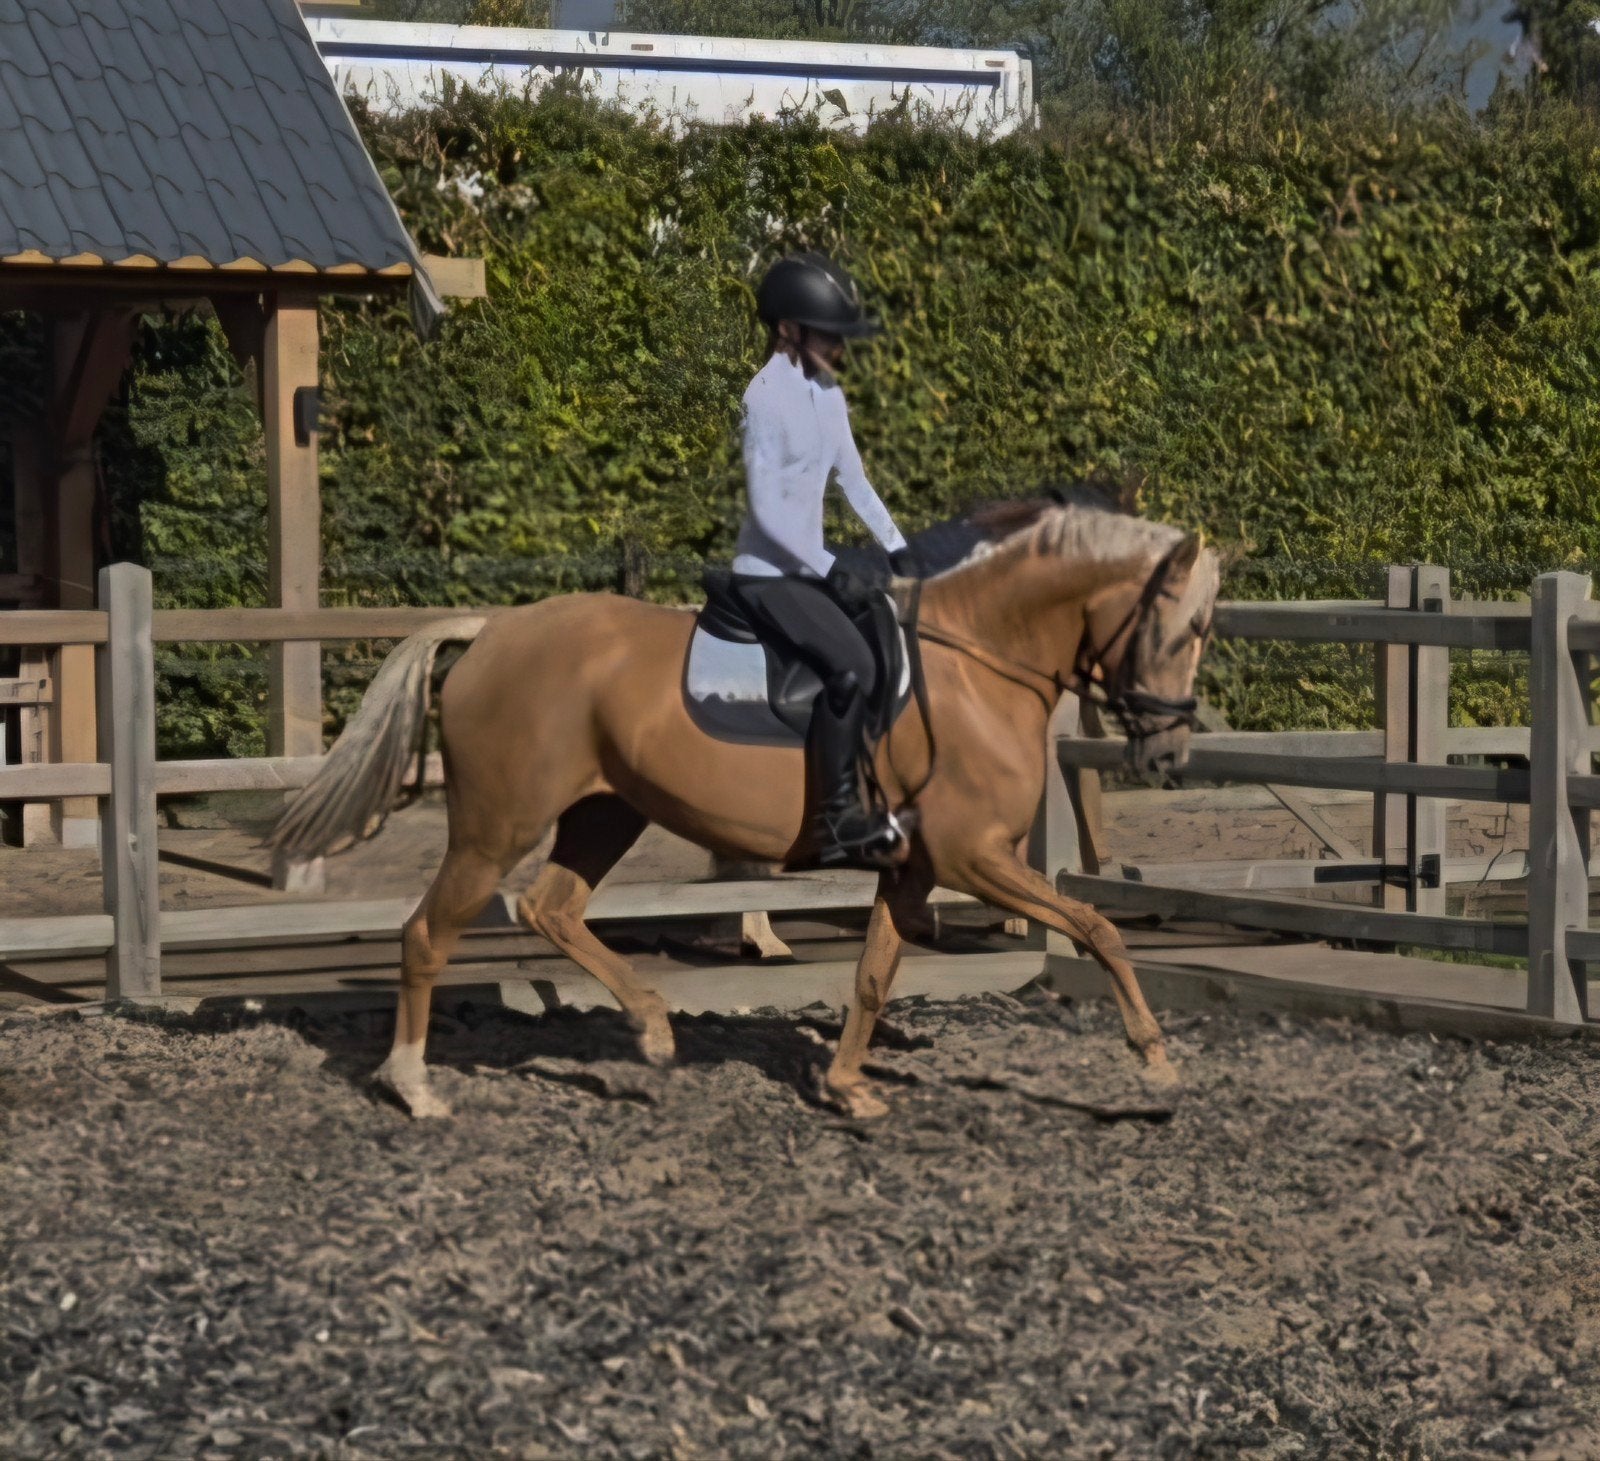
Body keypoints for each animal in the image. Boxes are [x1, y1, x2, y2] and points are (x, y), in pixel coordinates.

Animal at [271, 494, 1221, 1120]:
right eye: (1185, 628)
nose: (1169, 753)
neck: (980, 662)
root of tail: (494, 630)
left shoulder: (914, 866)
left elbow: (874, 973)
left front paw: (846, 1087)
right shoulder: (973, 856)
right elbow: (1098, 927)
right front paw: (1156, 1062)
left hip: (605, 812)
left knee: (550, 908)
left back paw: (654, 1029)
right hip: (495, 826)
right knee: (429, 932)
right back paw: (414, 1085)